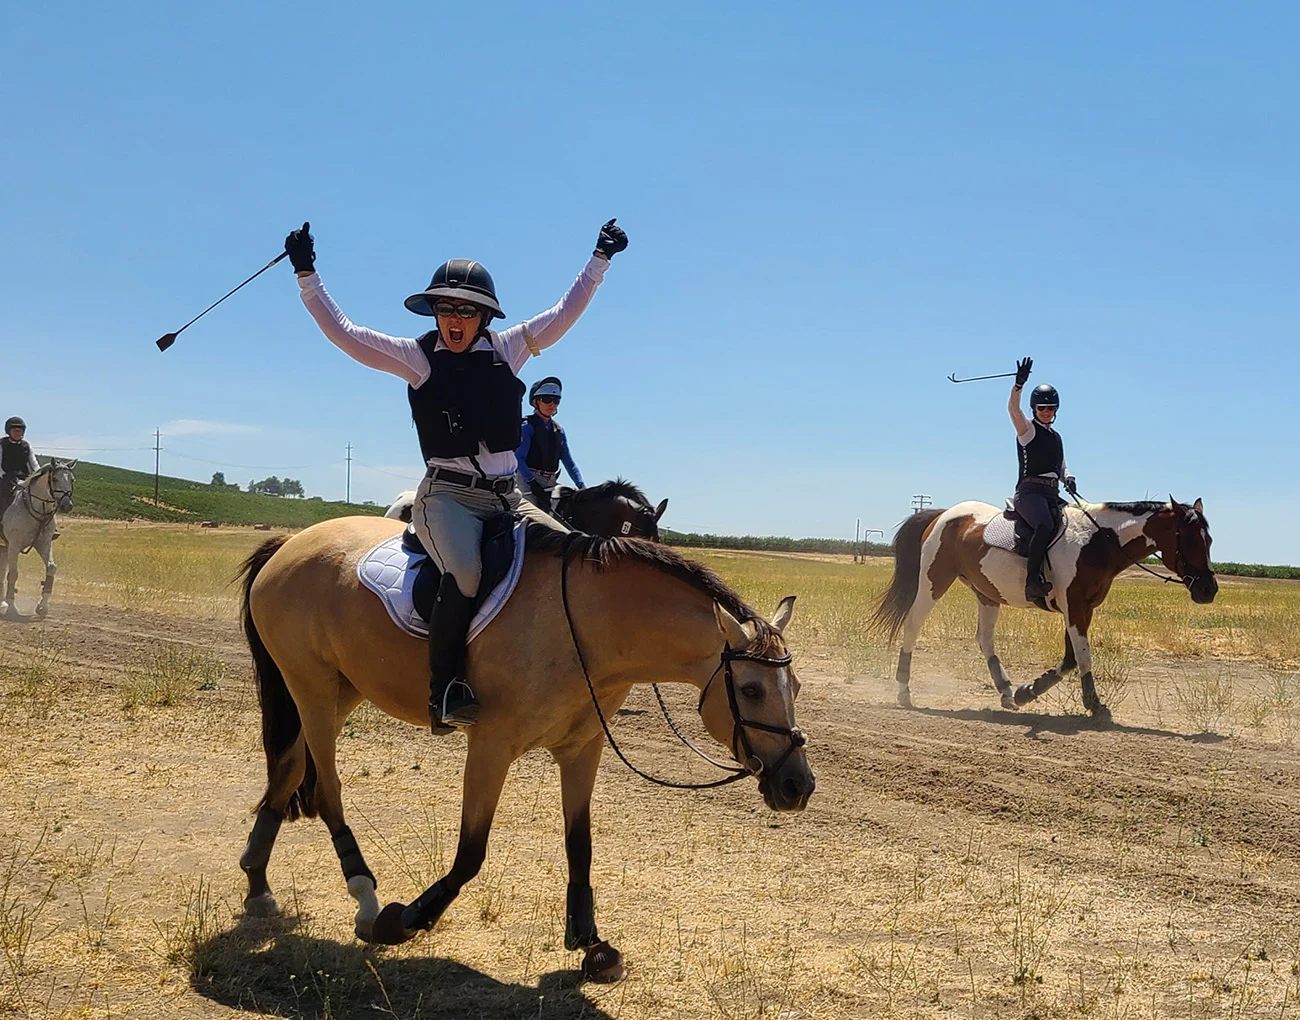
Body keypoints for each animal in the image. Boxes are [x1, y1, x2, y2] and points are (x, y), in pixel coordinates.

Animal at [0, 460, 75, 621]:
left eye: (72, 480)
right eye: (55, 479)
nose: (67, 505)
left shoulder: (44, 543)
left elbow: (51, 568)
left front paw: (43, 607)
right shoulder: (14, 545)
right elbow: (13, 574)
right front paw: (12, 608)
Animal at [237, 516, 814, 981]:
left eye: (797, 687)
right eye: (751, 690)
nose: (798, 786)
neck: (586, 628)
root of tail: (292, 542)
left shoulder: (582, 749)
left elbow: (580, 845)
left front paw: (590, 941)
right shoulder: (491, 746)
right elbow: (471, 853)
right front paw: (406, 920)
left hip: (341, 689)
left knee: (288, 770)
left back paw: (258, 886)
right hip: (310, 685)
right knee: (326, 790)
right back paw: (364, 899)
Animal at [871, 497, 1217, 721]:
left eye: (1209, 540)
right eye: (1188, 539)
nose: (1208, 590)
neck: (1097, 542)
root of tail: (944, 514)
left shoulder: (1081, 609)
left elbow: (1070, 658)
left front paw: (1028, 691)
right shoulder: (1074, 606)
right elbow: (1082, 656)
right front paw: (1095, 705)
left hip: (987, 593)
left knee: (984, 638)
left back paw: (1007, 691)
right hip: (934, 582)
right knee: (913, 624)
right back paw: (904, 691)